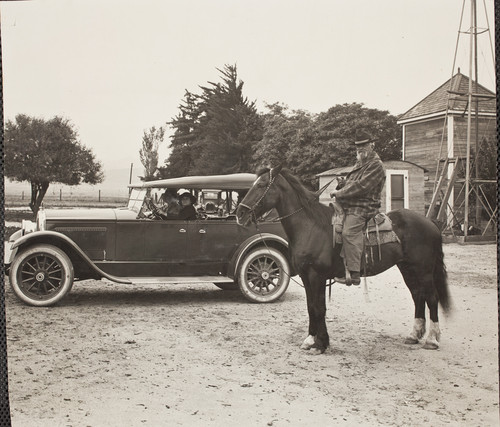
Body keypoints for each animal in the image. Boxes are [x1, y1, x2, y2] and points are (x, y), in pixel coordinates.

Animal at [236, 166, 452, 356]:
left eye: (261, 185)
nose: (240, 213)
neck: (310, 226)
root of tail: (430, 223)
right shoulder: (306, 276)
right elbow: (310, 306)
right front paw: (310, 339)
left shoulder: (316, 276)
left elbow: (319, 308)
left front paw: (321, 344)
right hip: (407, 268)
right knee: (418, 295)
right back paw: (414, 335)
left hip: (424, 270)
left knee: (431, 298)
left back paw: (432, 339)